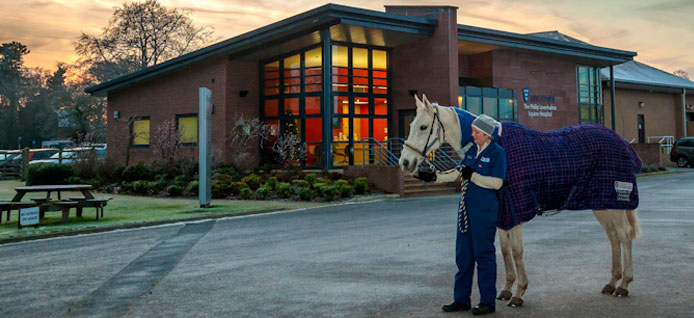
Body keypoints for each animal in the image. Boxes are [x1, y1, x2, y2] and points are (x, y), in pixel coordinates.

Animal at [400, 95, 644, 308]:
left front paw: (519, 294)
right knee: (613, 238)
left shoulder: (514, 210)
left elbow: (517, 251)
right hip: (602, 204)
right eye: (412, 124)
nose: (405, 162)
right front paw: (506, 289)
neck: (496, 144)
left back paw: (624, 284)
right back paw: (612, 282)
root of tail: (622, 142)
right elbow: (505, 251)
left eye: (423, 127)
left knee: (624, 236)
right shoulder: (503, 214)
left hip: (615, 202)